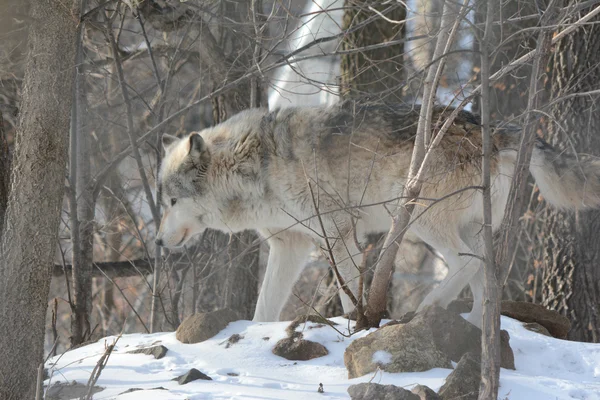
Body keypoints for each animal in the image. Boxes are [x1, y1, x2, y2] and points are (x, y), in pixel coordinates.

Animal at [154, 100, 600, 324]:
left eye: (172, 201)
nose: (156, 240)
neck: (255, 164)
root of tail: (494, 127)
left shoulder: (338, 234)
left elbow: (350, 294)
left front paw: (358, 325)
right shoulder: (290, 246)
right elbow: (264, 309)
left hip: (420, 218)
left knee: (468, 263)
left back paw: (429, 307)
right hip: (464, 226)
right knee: (485, 275)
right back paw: (475, 328)